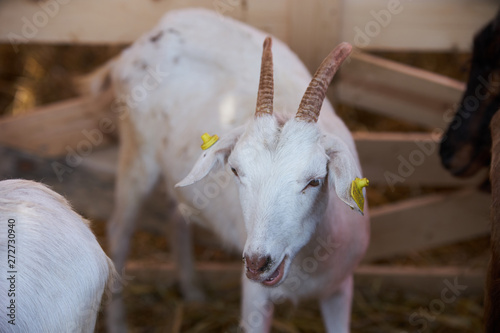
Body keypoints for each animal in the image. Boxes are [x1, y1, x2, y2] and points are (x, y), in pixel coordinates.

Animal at [88, 8, 370, 332]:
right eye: (236, 171)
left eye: (314, 181)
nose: (258, 263)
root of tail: (157, 29)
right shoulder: (255, 297)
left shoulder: (340, 289)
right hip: (136, 155)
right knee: (119, 230)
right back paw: (119, 323)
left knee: (176, 217)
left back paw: (194, 293)